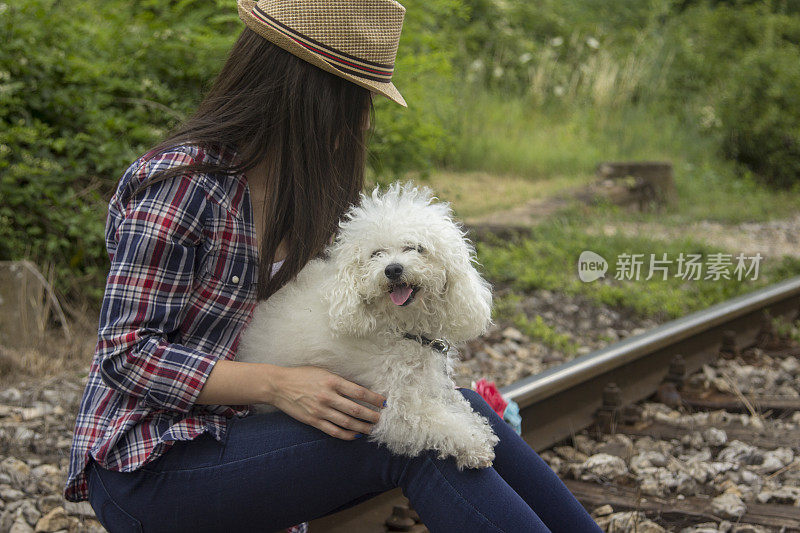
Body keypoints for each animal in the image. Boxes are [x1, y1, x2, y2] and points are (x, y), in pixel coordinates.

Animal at [239, 181, 500, 468]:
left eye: (415, 248)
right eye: (377, 253)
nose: (393, 269)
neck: (400, 329)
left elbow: (457, 405)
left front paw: (476, 424)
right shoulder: (394, 410)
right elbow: (441, 423)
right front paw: (474, 443)